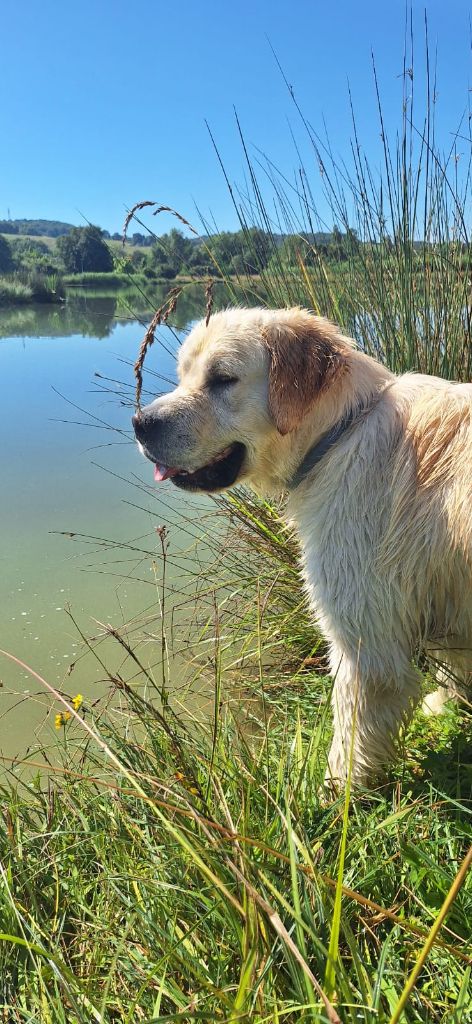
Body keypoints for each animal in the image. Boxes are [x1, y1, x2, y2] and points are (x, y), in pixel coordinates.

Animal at [132, 307, 470, 786]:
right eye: (183, 375)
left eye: (222, 379)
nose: (140, 423)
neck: (341, 433)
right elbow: (451, 670)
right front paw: (441, 708)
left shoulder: (364, 643)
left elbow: (349, 740)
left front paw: (333, 793)